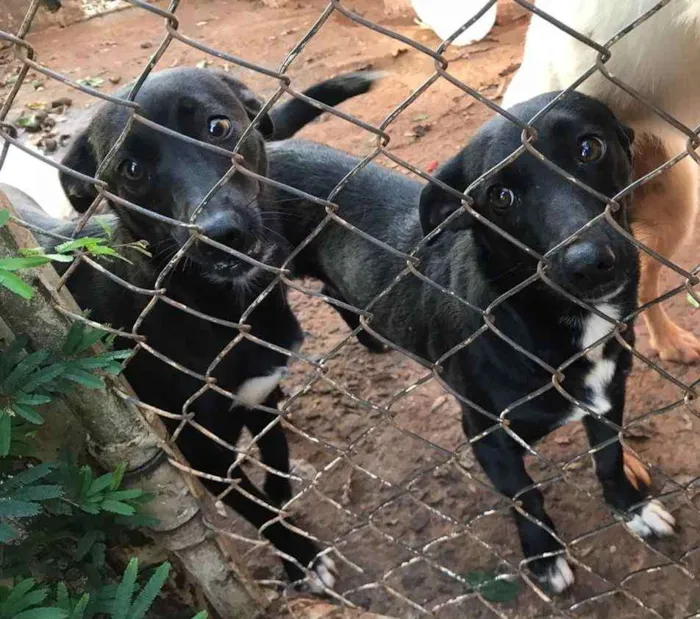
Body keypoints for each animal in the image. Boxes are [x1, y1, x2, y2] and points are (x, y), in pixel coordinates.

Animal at [8, 66, 380, 592]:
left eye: (217, 126)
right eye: (131, 170)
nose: (220, 234)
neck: (217, 307)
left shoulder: (263, 398)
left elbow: (278, 473)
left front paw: (290, 520)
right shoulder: (202, 453)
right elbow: (258, 512)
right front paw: (300, 559)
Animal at [270, 91, 676, 592]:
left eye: (589, 148)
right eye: (500, 197)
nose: (589, 264)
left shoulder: (609, 399)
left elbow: (610, 459)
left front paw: (632, 507)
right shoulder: (487, 436)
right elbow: (527, 496)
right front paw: (544, 556)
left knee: (334, 291)